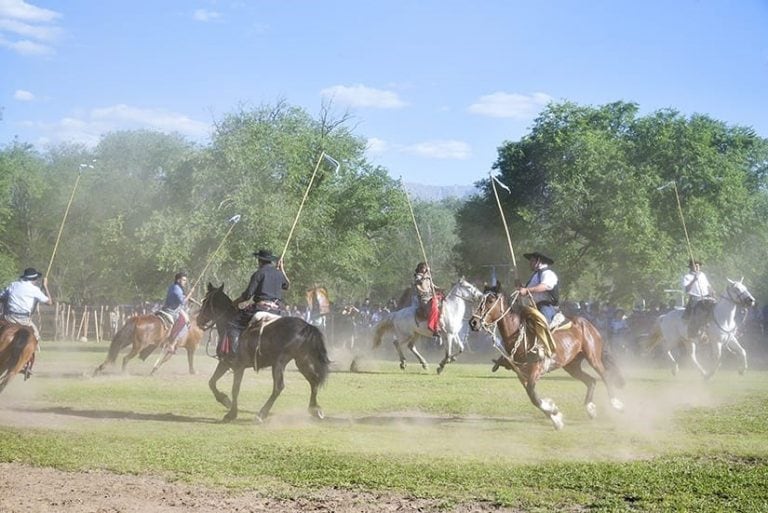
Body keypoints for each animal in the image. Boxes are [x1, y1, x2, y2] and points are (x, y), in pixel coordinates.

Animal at [196, 282, 328, 422]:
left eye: (205, 301)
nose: (198, 320)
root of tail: (306, 326)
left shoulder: (236, 366)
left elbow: (234, 389)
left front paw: (231, 412)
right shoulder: (225, 363)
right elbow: (212, 382)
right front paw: (226, 401)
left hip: (279, 363)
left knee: (278, 387)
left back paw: (261, 414)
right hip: (301, 361)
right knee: (313, 381)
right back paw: (315, 409)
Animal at [468, 284, 624, 428]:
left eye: (490, 300)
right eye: (480, 299)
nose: (473, 322)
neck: (521, 335)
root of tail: (589, 325)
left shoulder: (536, 369)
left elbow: (533, 395)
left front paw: (554, 414)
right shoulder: (521, 374)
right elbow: (533, 397)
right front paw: (555, 416)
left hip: (593, 357)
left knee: (604, 375)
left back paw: (616, 403)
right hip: (572, 366)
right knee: (591, 381)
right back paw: (590, 409)